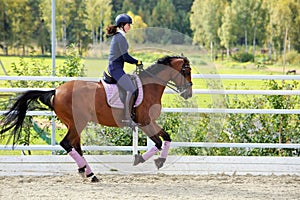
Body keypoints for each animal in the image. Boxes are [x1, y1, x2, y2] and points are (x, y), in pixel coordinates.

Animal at [0, 55, 192, 182]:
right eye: (186, 70)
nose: (188, 93)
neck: (149, 86)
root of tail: (56, 90)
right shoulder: (144, 122)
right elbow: (158, 142)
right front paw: (142, 159)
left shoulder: (150, 122)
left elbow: (166, 137)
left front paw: (160, 160)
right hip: (78, 122)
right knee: (67, 143)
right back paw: (90, 174)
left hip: (74, 123)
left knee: (75, 146)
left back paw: (86, 172)